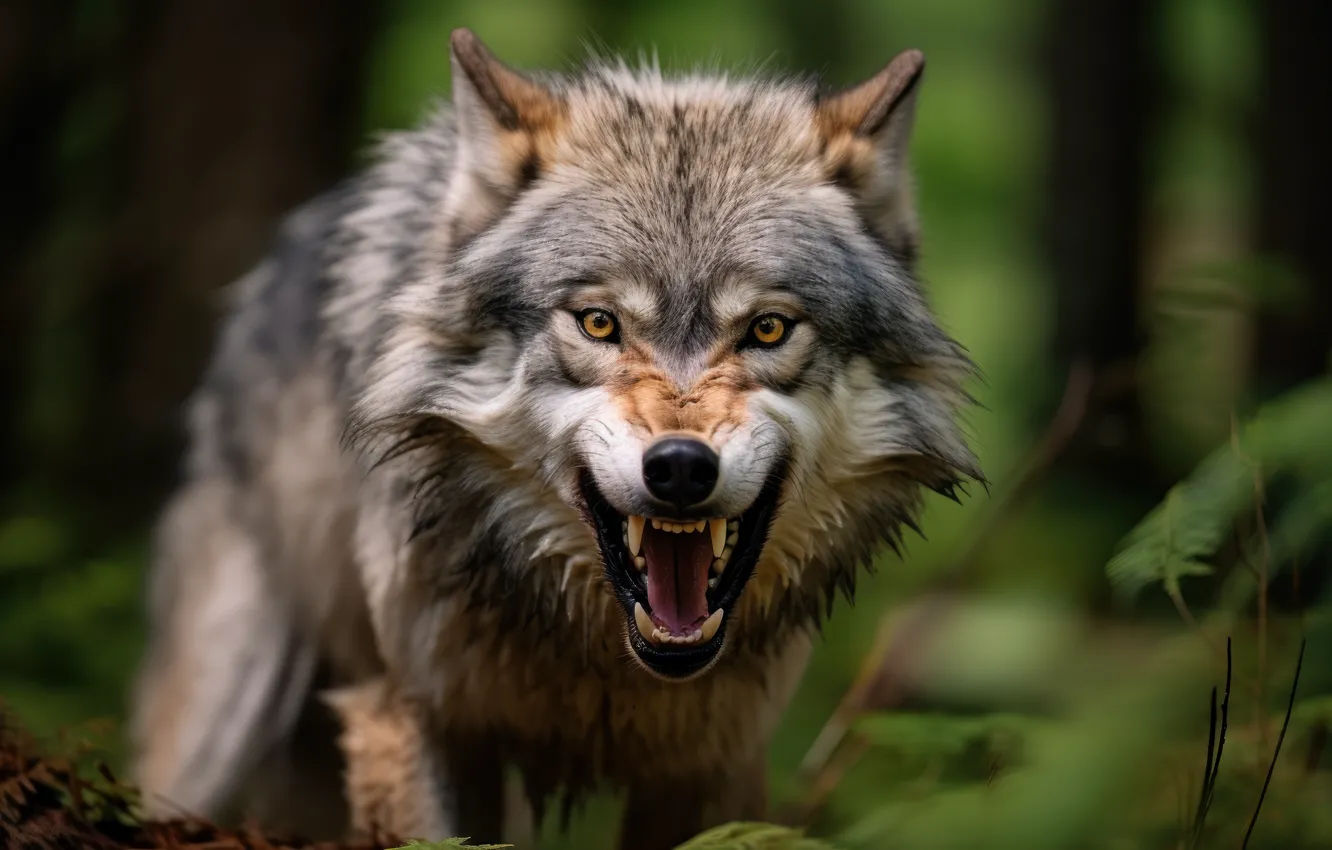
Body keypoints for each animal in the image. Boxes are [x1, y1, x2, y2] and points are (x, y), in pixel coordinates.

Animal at [128, 28, 980, 850]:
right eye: (599, 323)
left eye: (768, 329)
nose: (680, 467)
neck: (594, 656)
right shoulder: (413, 716)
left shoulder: (716, 763)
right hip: (221, 708)